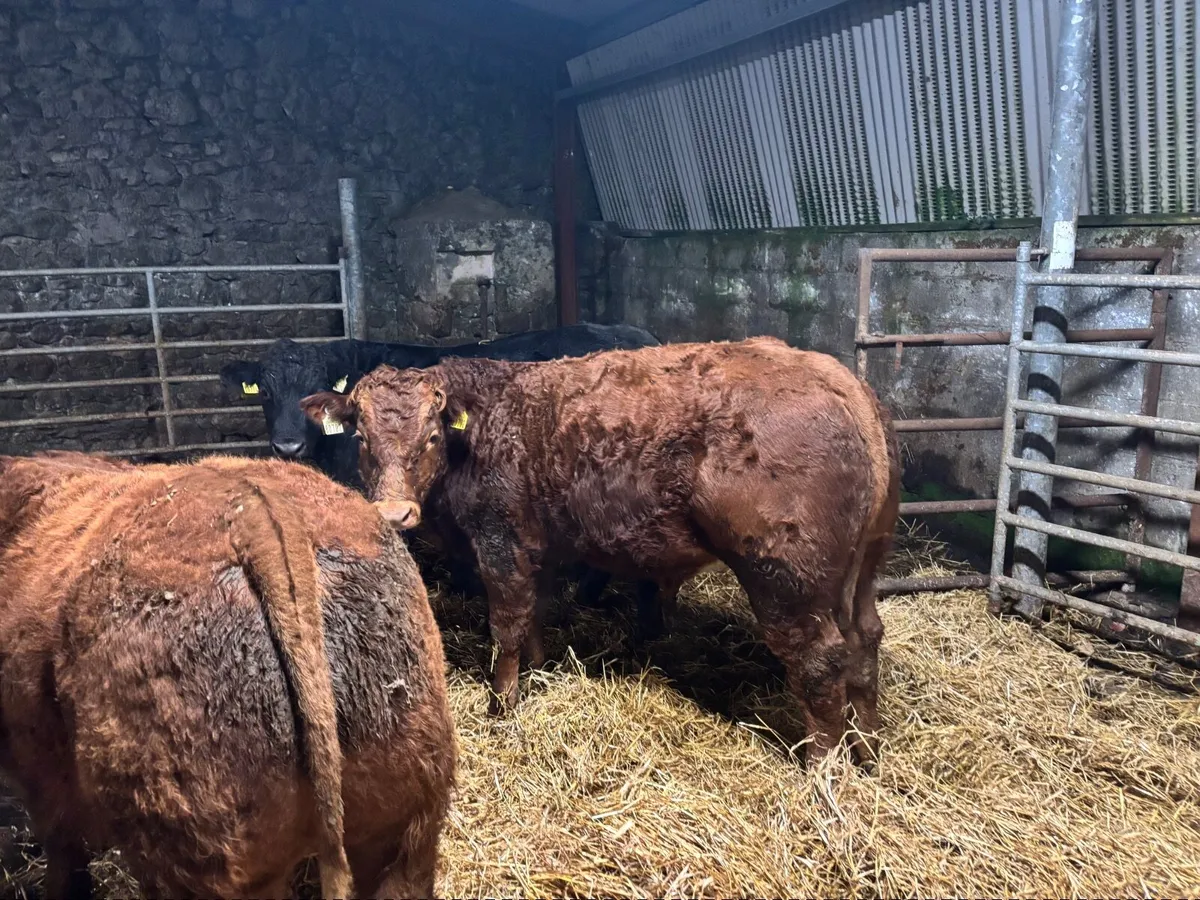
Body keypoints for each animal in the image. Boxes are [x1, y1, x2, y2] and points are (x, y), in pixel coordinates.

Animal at [301, 336, 900, 764]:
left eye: (431, 436)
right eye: (360, 438)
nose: (393, 513)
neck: (487, 430)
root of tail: (836, 376)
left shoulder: (500, 542)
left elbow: (507, 625)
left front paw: (501, 705)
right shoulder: (537, 547)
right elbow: (535, 616)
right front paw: (538, 672)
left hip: (786, 578)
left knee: (821, 659)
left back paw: (821, 769)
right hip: (864, 566)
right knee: (864, 639)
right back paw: (867, 750)